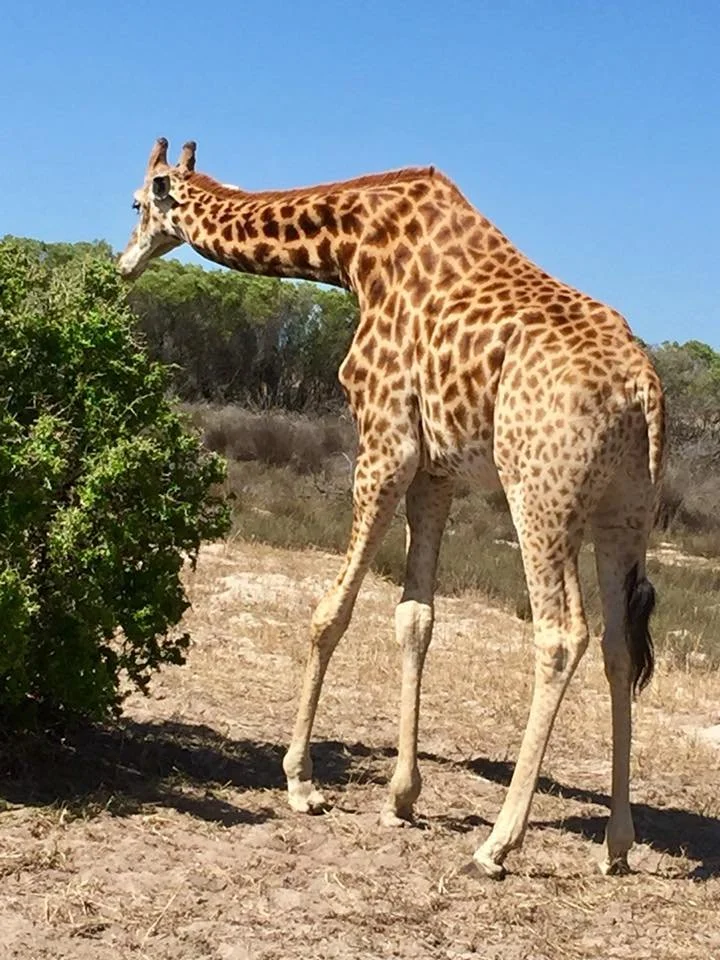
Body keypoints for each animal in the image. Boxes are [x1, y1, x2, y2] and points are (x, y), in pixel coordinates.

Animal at [118, 138, 665, 878]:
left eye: (135, 204)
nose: (123, 263)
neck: (351, 252)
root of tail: (644, 388)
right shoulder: (434, 468)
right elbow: (416, 617)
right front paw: (402, 796)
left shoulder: (385, 439)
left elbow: (332, 611)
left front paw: (301, 781)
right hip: (624, 511)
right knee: (617, 646)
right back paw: (617, 844)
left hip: (540, 492)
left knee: (561, 635)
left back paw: (498, 843)